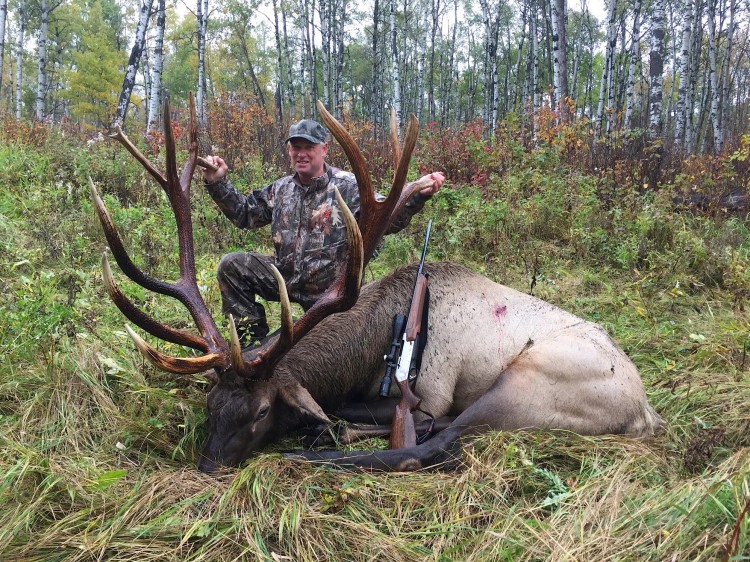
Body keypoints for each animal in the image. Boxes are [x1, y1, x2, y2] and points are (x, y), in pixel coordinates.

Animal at [90, 95, 665, 473]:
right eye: (211, 404)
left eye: (260, 410)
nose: (209, 468)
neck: (366, 354)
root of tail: (645, 413)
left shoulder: (431, 392)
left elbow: (381, 413)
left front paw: (319, 427)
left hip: (531, 381)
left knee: (435, 443)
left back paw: (320, 452)